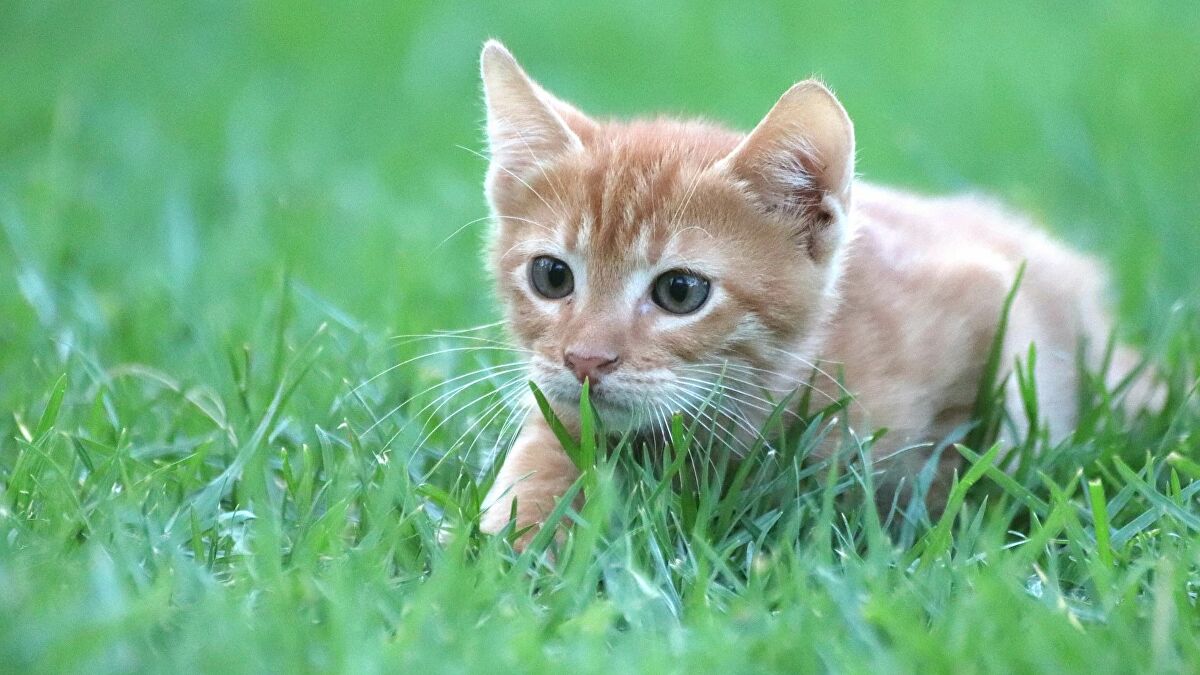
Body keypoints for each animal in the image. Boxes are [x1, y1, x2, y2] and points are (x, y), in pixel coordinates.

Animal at [472, 38, 1147, 540]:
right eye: (552, 276)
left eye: (681, 291)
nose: (585, 360)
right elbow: (546, 451)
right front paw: (519, 534)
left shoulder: (993, 299)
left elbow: (978, 453)